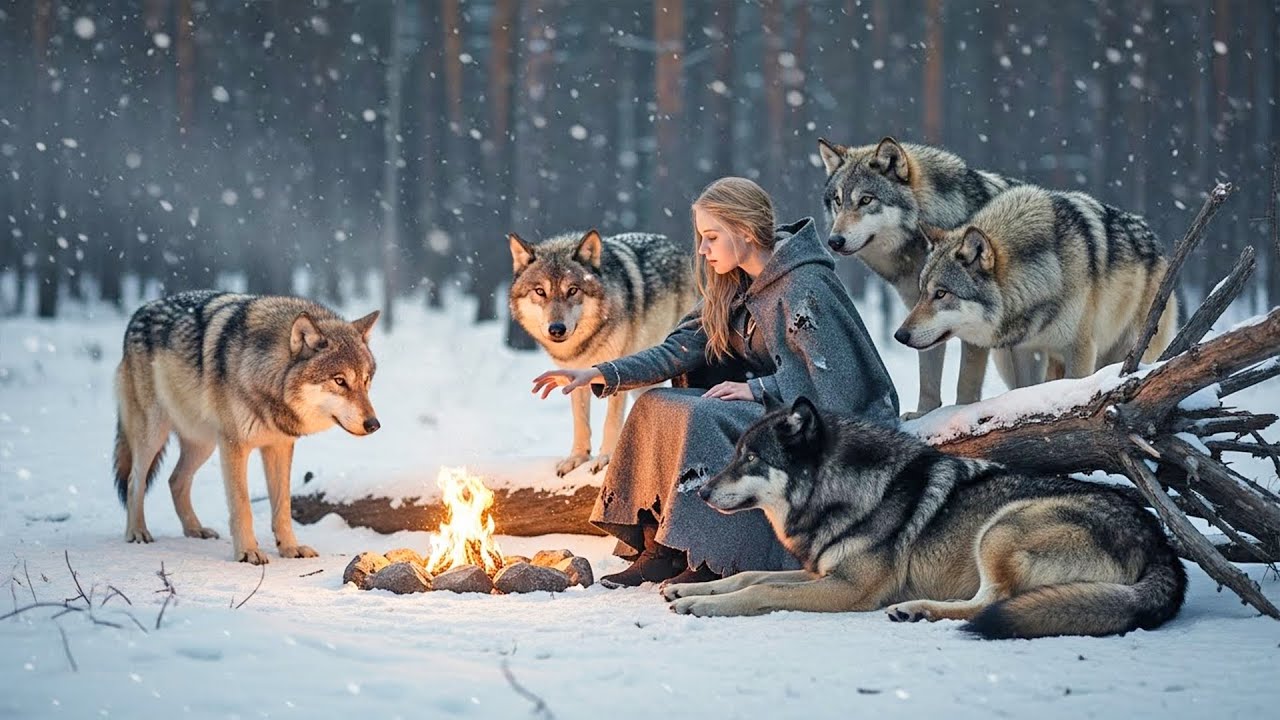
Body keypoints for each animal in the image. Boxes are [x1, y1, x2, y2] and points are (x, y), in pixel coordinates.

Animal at [113, 290, 381, 564]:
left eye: (366, 381)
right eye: (340, 381)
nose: (374, 424)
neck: (265, 377)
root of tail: (140, 310)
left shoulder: (279, 446)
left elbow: (283, 507)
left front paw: (290, 548)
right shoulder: (234, 446)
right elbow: (242, 506)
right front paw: (247, 552)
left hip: (204, 444)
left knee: (175, 480)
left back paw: (195, 529)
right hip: (153, 434)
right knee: (135, 480)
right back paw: (137, 532)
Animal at [509, 229, 697, 476]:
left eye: (573, 290)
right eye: (540, 291)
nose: (557, 329)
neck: (586, 344)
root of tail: (674, 246)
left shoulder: (615, 368)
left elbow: (612, 421)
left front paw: (606, 458)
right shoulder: (575, 374)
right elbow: (580, 422)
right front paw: (577, 458)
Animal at [662, 398, 1186, 639]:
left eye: (750, 458)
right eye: (736, 453)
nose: (700, 490)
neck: (843, 492)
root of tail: (1162, 545)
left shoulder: (848, 589)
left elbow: (761, 589)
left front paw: (701, 605)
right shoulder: (821, 571)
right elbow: (749, 575)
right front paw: (687, 590)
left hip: (1001, 529)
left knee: (990, 605)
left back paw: (918, 610)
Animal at [817, 136, 1037, 416]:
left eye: (866, 200)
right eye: (837, 200)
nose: (834, 241)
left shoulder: (971, 327)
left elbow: (966, 382)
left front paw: (960, 412)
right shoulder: (922, 318)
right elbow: (928, 377)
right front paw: (924, 414)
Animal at [895, 184, 1178, 381]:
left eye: (941, 293)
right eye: (922, 292)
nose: (899, 335)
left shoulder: (1081, 349)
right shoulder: (1026, 352)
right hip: (1004, 360)